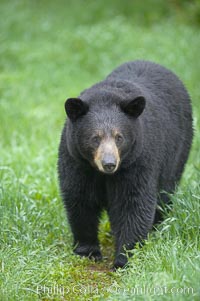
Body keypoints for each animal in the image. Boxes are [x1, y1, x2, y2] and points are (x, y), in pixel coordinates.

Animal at [57, 60, 192, 268]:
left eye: (119, 137)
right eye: (95, 138)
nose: (109, 163)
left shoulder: (138, 161)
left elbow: (133, 203)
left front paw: (124, 259)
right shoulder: (76, 161)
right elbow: (80, 199)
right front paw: (87, 251)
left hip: (177, 152)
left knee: (164, 193)